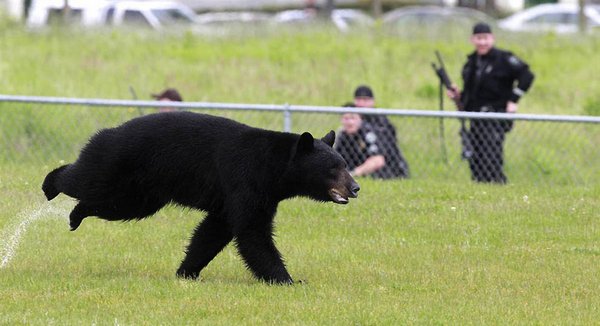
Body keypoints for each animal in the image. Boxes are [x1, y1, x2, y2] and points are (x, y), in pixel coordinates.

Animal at [44, 111, 360, 282]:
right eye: (334, 168)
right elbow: (252, 233)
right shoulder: (245, 180)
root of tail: (106, 131)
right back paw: (50, 184)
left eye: (345, 163)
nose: (355, 187)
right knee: (86, 179)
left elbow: (214, 231)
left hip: (142, 191)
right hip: (117, 162)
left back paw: (75, 215)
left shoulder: (253, 195)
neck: (273, 169)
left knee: (117, 206)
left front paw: (187, 271)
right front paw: (288, 280)